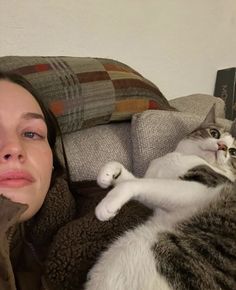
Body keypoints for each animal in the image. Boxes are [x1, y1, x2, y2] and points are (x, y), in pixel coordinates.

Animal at [85, 106, 236, 290]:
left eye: (233, 151)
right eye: (214, 133)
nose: (222, 146)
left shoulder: (199, 189)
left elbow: (140, 184)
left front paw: (108, 204)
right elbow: (127, 174)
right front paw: (108, 173)